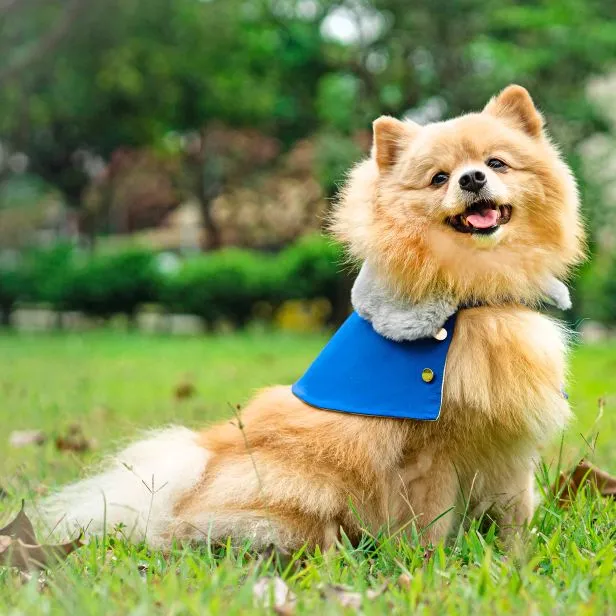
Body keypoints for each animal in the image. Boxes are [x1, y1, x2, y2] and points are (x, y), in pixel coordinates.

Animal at [42, 84, 584, 552]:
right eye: (439, 178)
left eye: (496, 163)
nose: (472, 178)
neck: (473, 299)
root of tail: (195, 472)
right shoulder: (430, 453)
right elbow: (430, 520)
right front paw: (431, 565)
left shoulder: (509, 448)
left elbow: (515, 514)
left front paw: (515, 557)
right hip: (306, 482)